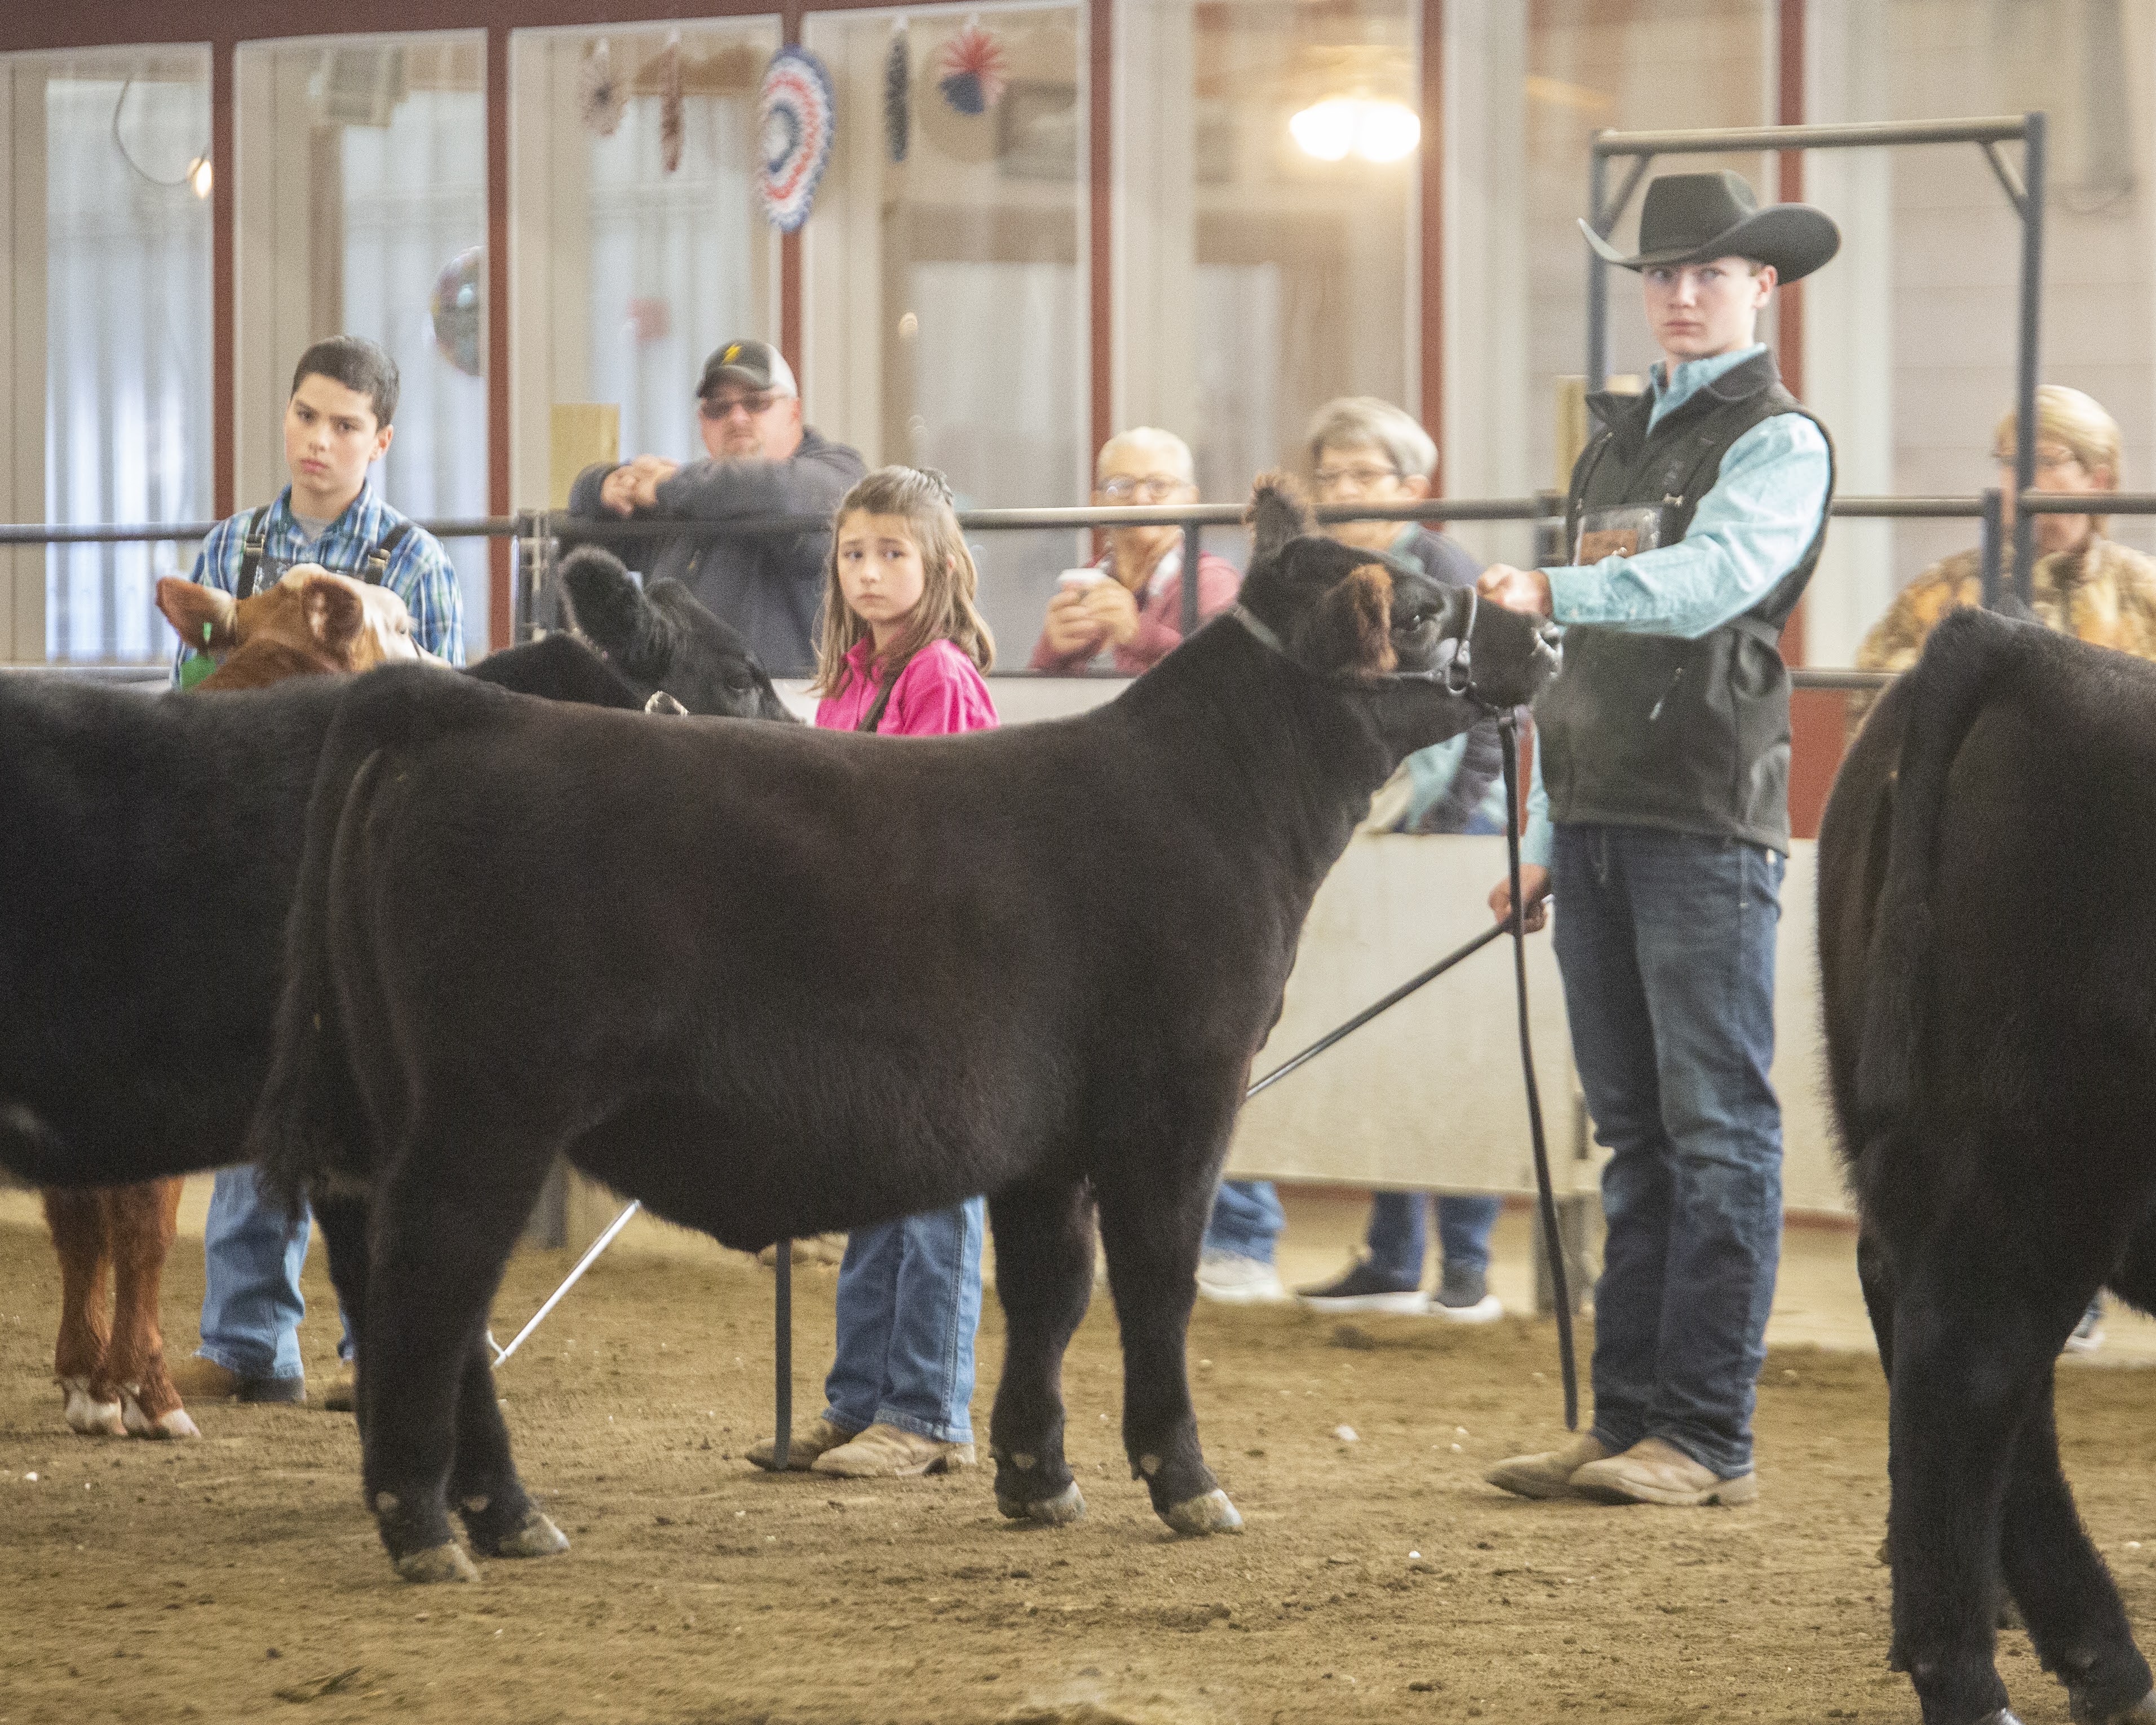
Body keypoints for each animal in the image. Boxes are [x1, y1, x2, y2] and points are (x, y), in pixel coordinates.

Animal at [246, 479, 1561, 1584]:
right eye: (1428, 609)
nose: (1545, 637)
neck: (1216, 798)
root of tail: (452, 709)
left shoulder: (1047, 1138)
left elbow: (1048, 1290)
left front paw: (1038, 1477)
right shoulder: (1181, 1098)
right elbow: (1154, 1285)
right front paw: (1185, 1481)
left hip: (400, 1107)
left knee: (412, 1284)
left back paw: (500, 1516)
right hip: (488, 1108)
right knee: (433, 1280)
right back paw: (430, 1530)